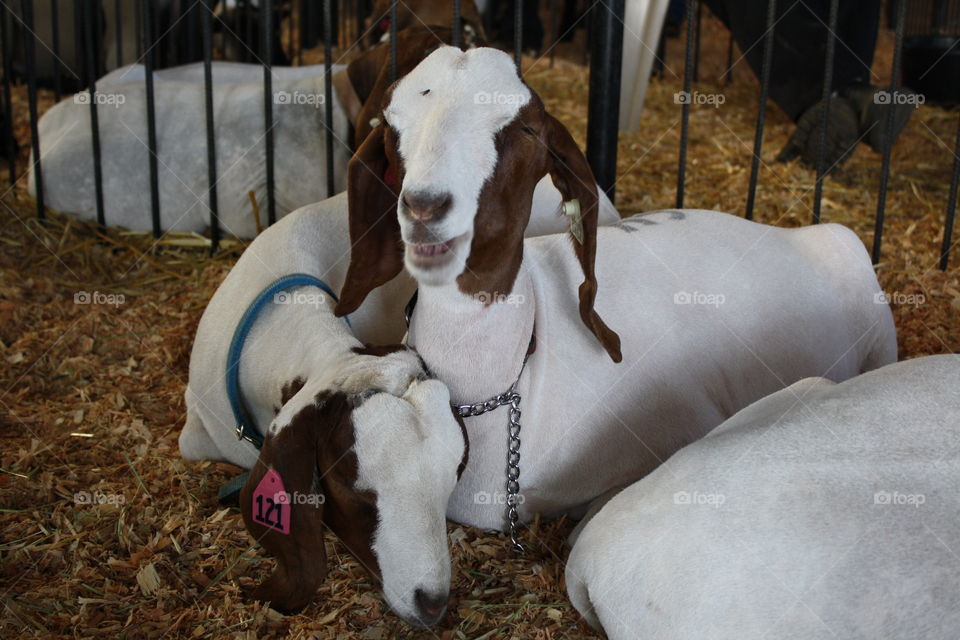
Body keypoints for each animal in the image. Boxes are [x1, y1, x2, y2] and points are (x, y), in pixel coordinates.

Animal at [334, 46, 898, 532]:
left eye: (524, 127)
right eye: (392, 125)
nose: (425, 207)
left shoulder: (684, 424)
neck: (517, 381)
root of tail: (798, 233)